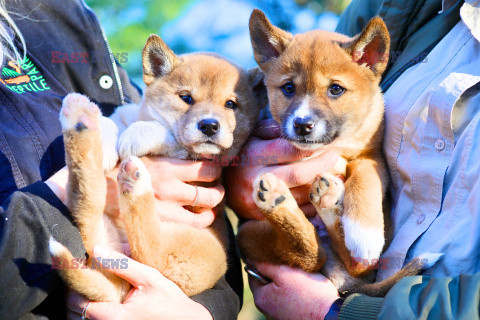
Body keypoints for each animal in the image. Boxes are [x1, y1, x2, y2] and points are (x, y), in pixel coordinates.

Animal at [238, 9, 440, 296]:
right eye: (288, 88)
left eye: (335, 89)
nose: (302, 125)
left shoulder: (372, 158)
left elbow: (364, 180)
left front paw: (364, 234)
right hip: (249, 233)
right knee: (310, 255)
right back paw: (288, 200)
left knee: (350, 264)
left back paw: (323, 203)